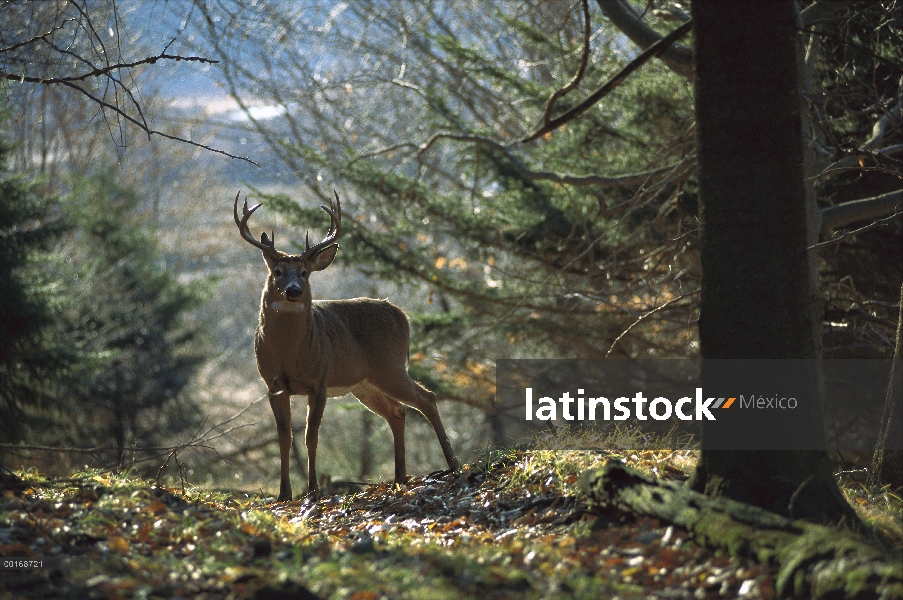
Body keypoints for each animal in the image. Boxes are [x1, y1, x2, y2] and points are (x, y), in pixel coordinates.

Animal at [235, 190, 460, 500]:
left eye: (304, 272)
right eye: (277, 271)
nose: (294, 291)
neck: (288, 354)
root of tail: (403, 316)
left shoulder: (319, 381)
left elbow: (311, 436)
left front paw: (314, 490)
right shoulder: (274, 385)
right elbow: (285, 436)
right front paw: (284, 495)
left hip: (389, 366)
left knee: (426, 398)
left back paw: (453, 465)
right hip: (364, 383)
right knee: (397, 411)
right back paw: (400, 478)